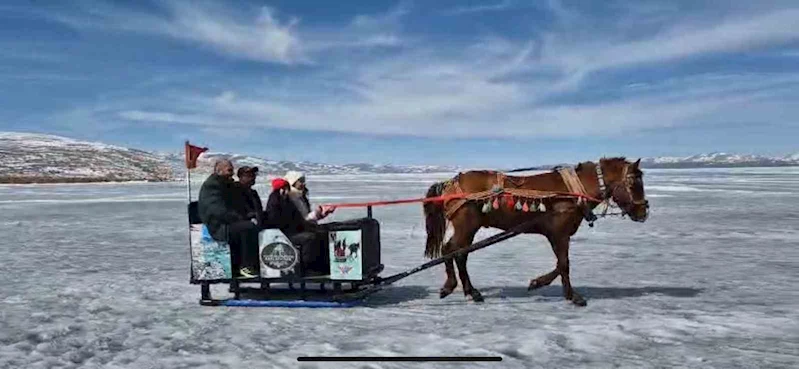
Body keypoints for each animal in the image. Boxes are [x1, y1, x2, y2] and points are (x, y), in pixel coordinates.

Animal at [424, 157, 648, 306]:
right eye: (633, 182)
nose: (643, 212)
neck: (574, 191)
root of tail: (450, 183)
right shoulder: (559, 233)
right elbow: (564, 264)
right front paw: (572, 296)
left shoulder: (556, 234)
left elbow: (560, 264)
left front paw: (539, 283)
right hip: (466, 225)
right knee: (451, 250)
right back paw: (451, 286)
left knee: (460, 253)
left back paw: (471, 291)